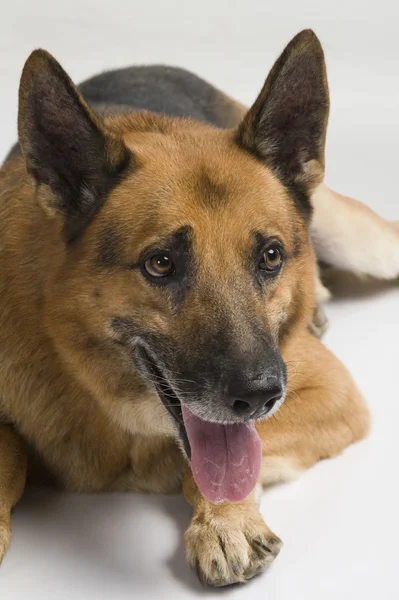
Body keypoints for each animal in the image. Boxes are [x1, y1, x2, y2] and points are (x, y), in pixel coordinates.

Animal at [1, 29, 398, 584]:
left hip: (362, 240)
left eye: (271, 255)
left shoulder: (333, 393)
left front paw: (224, 520)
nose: (259, 395)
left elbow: (218, 463)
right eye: (160, 264)